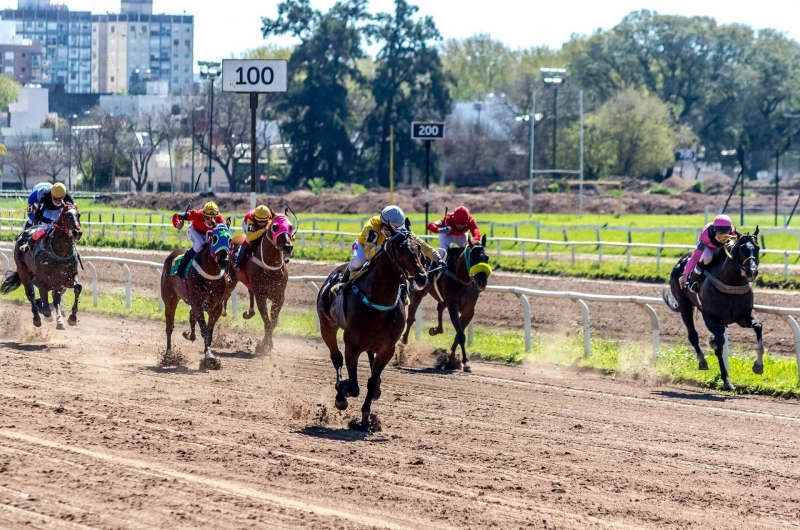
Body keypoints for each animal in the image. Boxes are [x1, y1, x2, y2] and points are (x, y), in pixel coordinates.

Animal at [161, 221, 233, 366]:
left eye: (230, 240)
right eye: (215, 238)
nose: (224, 261)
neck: (210, 275)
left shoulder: (215, 307)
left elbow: (209, 331)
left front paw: (209, 355)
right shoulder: (198, 303)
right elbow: (204, 329)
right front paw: (209, 356)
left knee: (190, 315)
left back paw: (190, 335)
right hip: (170, 299)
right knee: (169, 326)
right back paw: (169, 355)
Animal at [223, 208, 296, 352]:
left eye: (290, 227)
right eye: (275, 227)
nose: (288, 247)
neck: (270, 264)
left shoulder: (279, 297)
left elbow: (273, 322)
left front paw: (266, 344)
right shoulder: (261, 295)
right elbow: (267, 322)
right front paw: (263, 346)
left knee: (249, 292)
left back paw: (248, 313)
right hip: (231, 280)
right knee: (225, 294)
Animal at [318, 222, 432, 428]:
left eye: (419, 248)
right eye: (400, 248)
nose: (421, 277)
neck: (379, 302)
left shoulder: (388, 349)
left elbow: (372, 380)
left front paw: (366, 416)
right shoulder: (352, 346)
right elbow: (354, 387)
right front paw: (343, 391)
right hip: (326, 326)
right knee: (336, 357)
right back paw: (340, 392)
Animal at [404, 233, 490, 370]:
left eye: (487, 257)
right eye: (472, 258)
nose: (482, 281)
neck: (462, 280)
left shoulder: (469, 310)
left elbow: (459, 334)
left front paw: (452, 359)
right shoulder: (453, 305)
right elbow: (460, 334)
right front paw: (463, 361)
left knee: (440, 308)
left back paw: (436, 330)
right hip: (417, 292)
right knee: (411, 318)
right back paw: (403, 342)